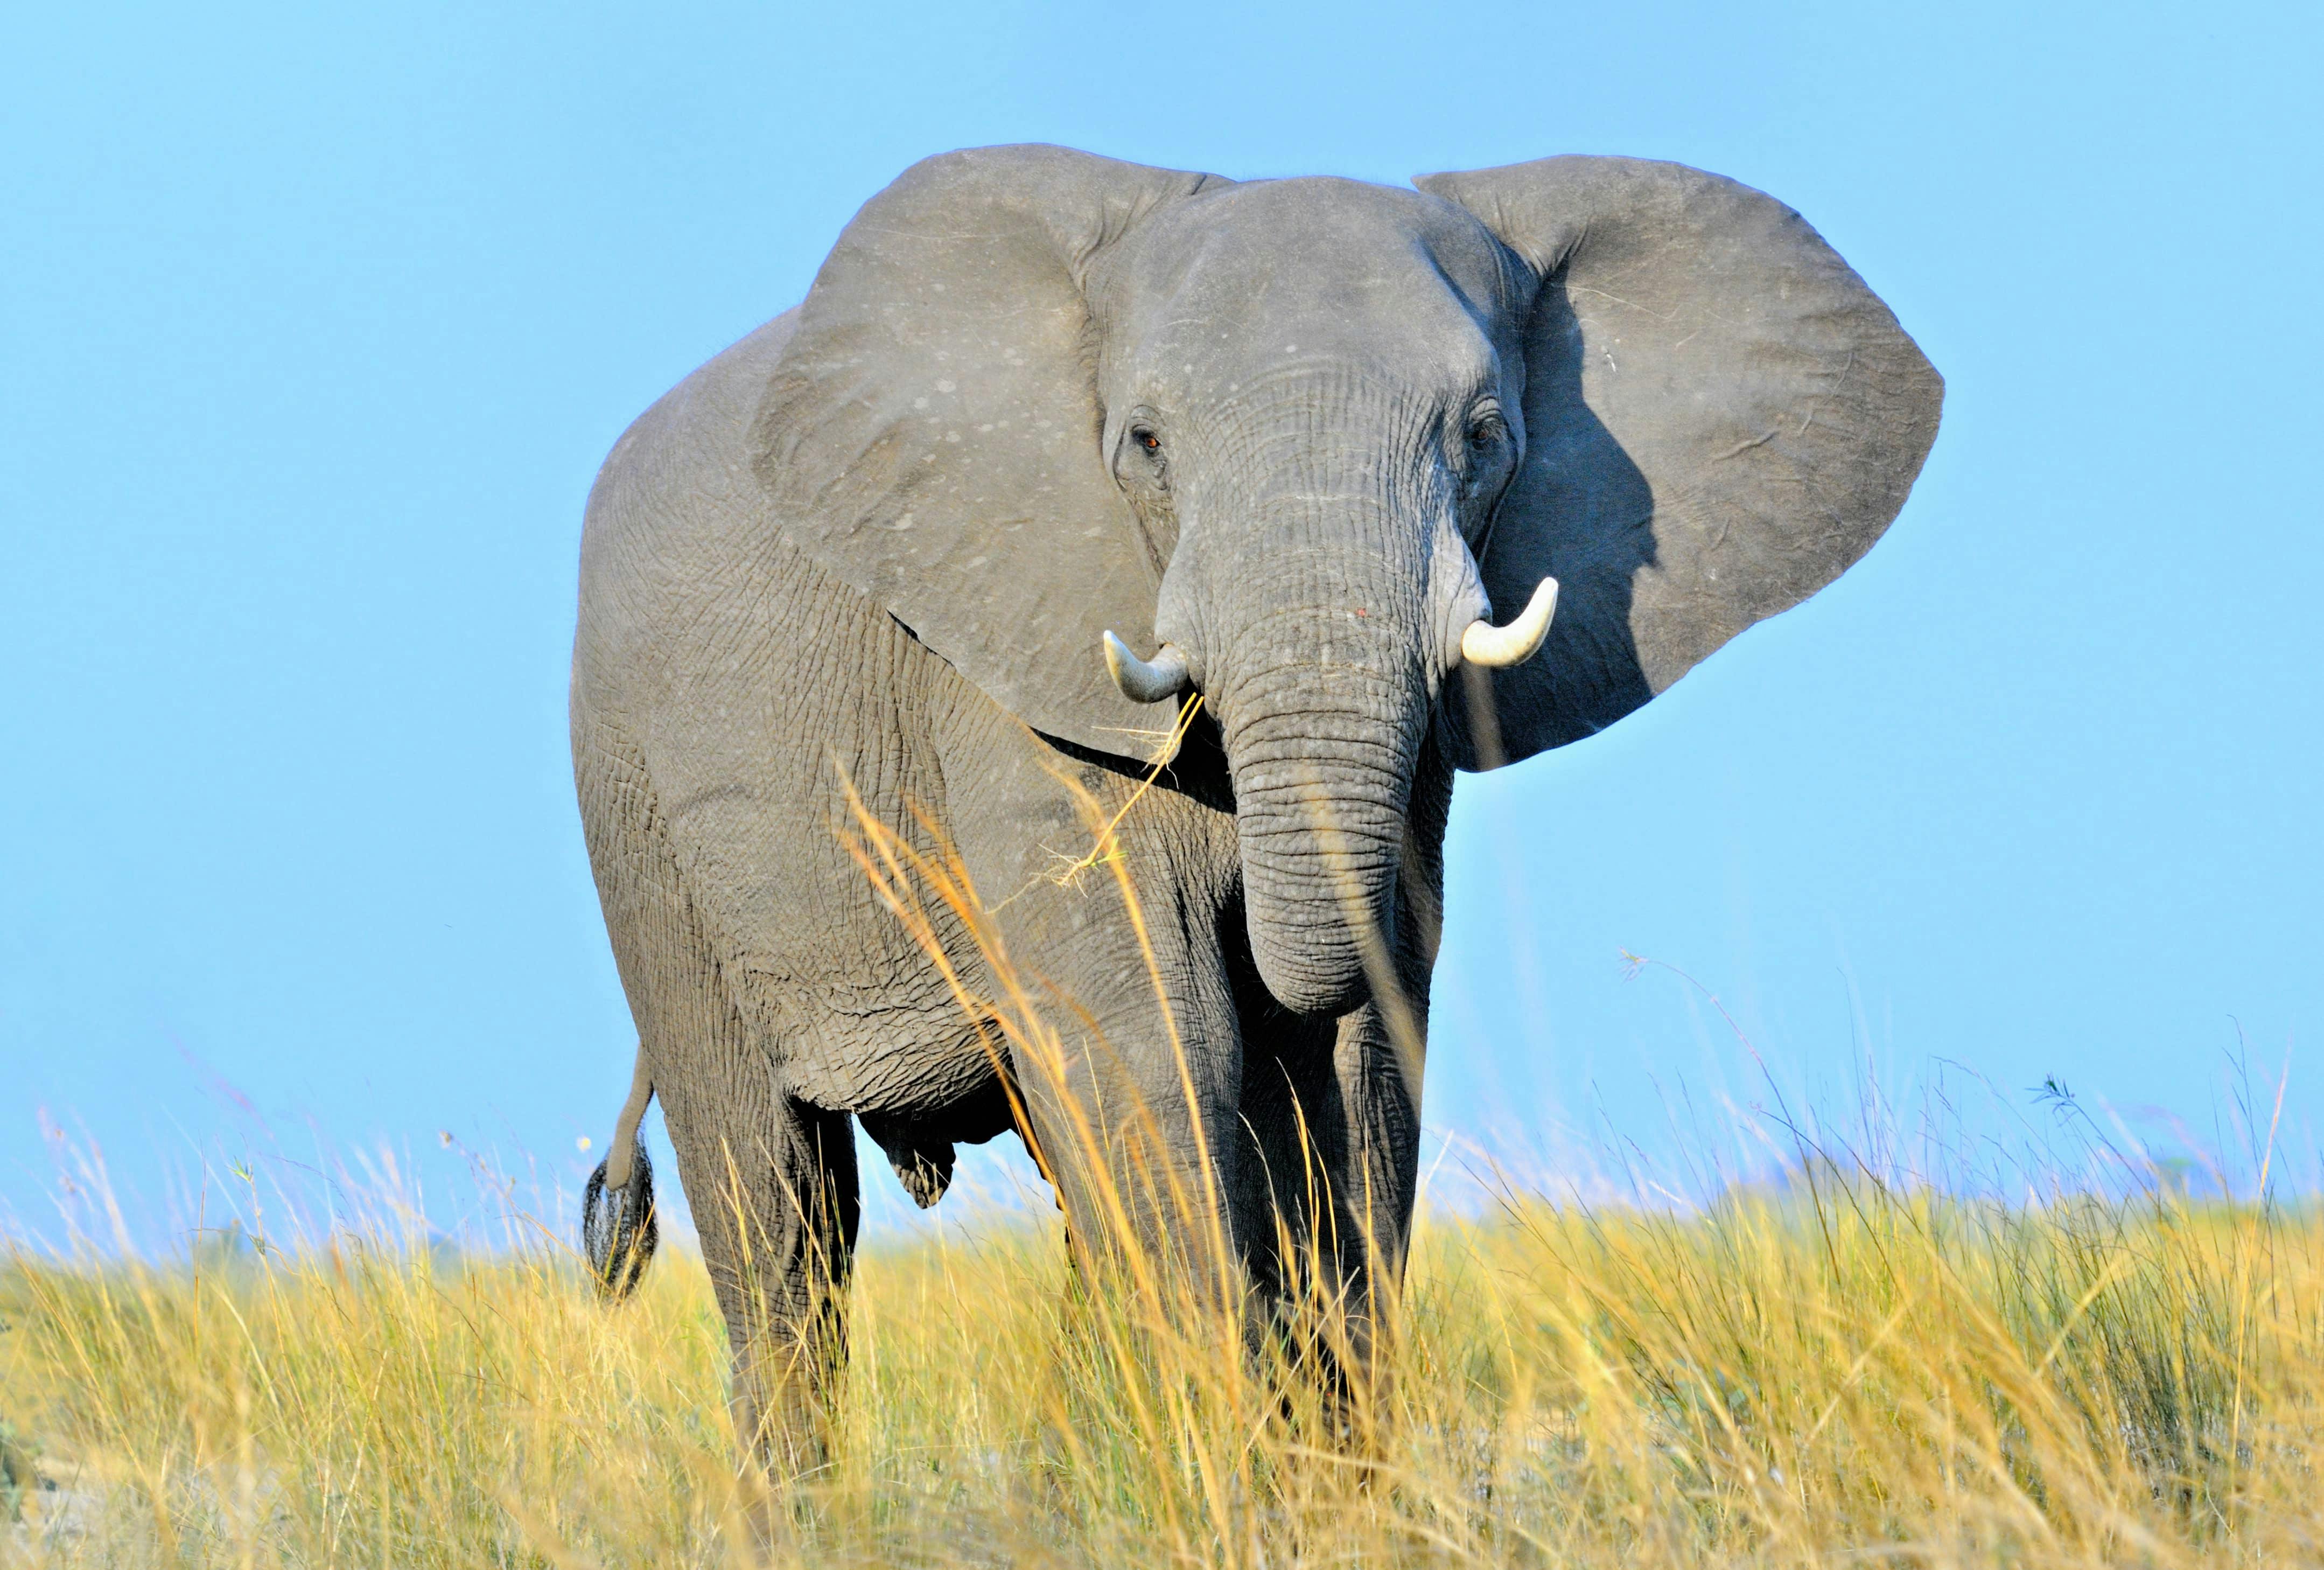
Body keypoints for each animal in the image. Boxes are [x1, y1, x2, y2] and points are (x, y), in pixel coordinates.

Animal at [570, 144, 1940, 1469]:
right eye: (1143, 445)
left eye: (1484, 434)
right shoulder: (1004, 676)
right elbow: (1157, 1039)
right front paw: (1222, 1468)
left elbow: (1365, 1060)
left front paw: (1326, 1481)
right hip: (635, 805)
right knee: (777, 1211)